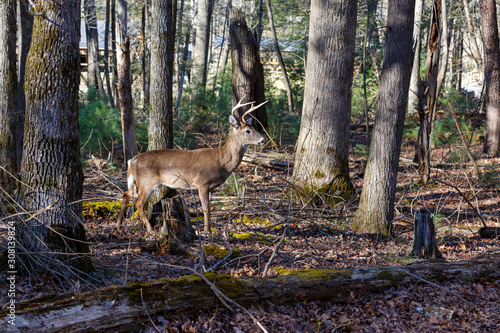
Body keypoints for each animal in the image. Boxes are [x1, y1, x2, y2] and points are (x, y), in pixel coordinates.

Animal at [115, 99, 268, 233]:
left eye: (253, 127)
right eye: (247, 131)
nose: (263, 140)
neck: (221, 161)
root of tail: (132, 160)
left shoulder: (211, 187)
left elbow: (210, 207)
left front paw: (209, 229)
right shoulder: (202, 182)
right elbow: (205, 208)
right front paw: (207, 231)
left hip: (138, 181)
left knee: (126, 194)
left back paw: (119, 224)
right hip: (148, 181)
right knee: (138, 202)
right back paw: (150, 229)